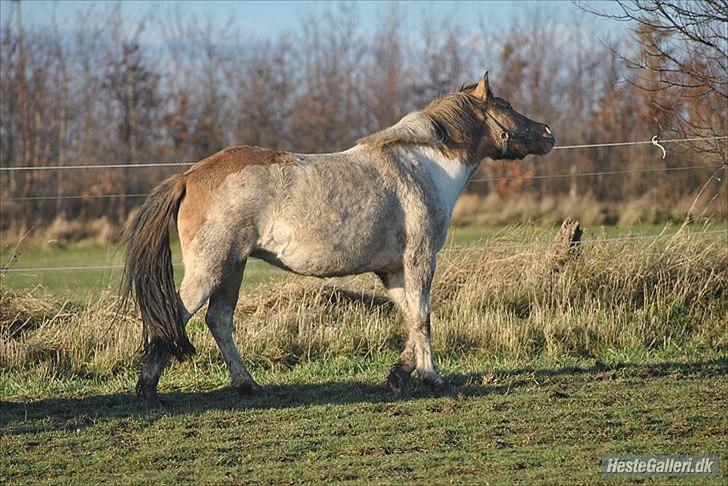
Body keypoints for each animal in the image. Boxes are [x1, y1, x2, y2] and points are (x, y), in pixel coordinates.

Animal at [122, 71, 556, 406]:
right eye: (508, 106)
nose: (548, 133)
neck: (424, 166)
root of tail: (188, 176)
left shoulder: (393, 271)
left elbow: (410, 319)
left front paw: (399, 374)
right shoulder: (419, 260)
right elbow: (423, 318)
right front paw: (434, 378)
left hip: (233, 267)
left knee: (219, 321)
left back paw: (248, 386)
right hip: (212, 268)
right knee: (175, 315)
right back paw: (148, 390)